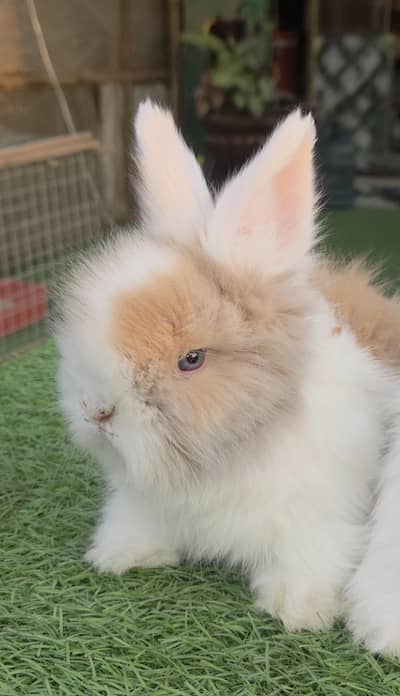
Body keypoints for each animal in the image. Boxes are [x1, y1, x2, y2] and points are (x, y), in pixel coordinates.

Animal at [56, 101, 396, 633]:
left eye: (191, 359)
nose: (97, 411)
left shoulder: (319, 518)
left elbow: (309, 559)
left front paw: (298, 609)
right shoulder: (145, 503)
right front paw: (119, 555)